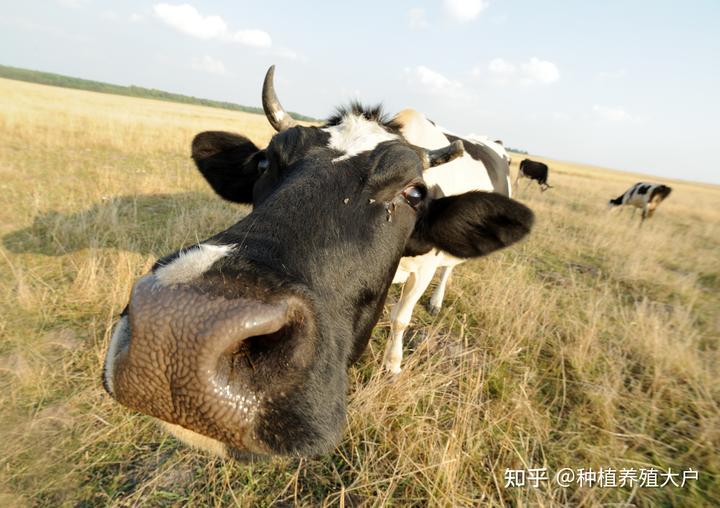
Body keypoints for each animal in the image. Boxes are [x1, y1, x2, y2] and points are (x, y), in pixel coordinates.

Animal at [102, 65, 536, 458]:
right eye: (264, 162)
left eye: (413, 193)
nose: (177, 328)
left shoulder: (423, 268)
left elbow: (401, 318)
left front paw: (393, 365)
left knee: (449, 270)